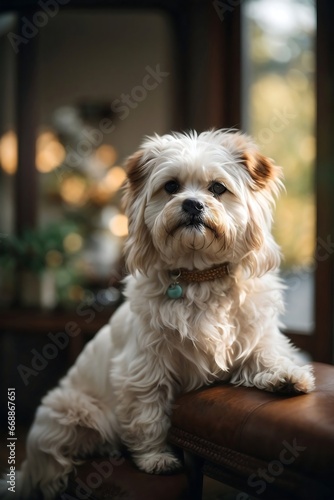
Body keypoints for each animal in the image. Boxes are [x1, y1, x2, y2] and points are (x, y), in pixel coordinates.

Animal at [0, 129, 314, 496]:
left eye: (217, 188)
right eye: (171, 186)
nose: (192, 203)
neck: (199, 276)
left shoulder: (256, 338)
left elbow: (268, 355)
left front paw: (287, 376)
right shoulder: (145, 368)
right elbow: (148, 414)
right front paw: (156, 458)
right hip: (67, 415)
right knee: (52, 469)